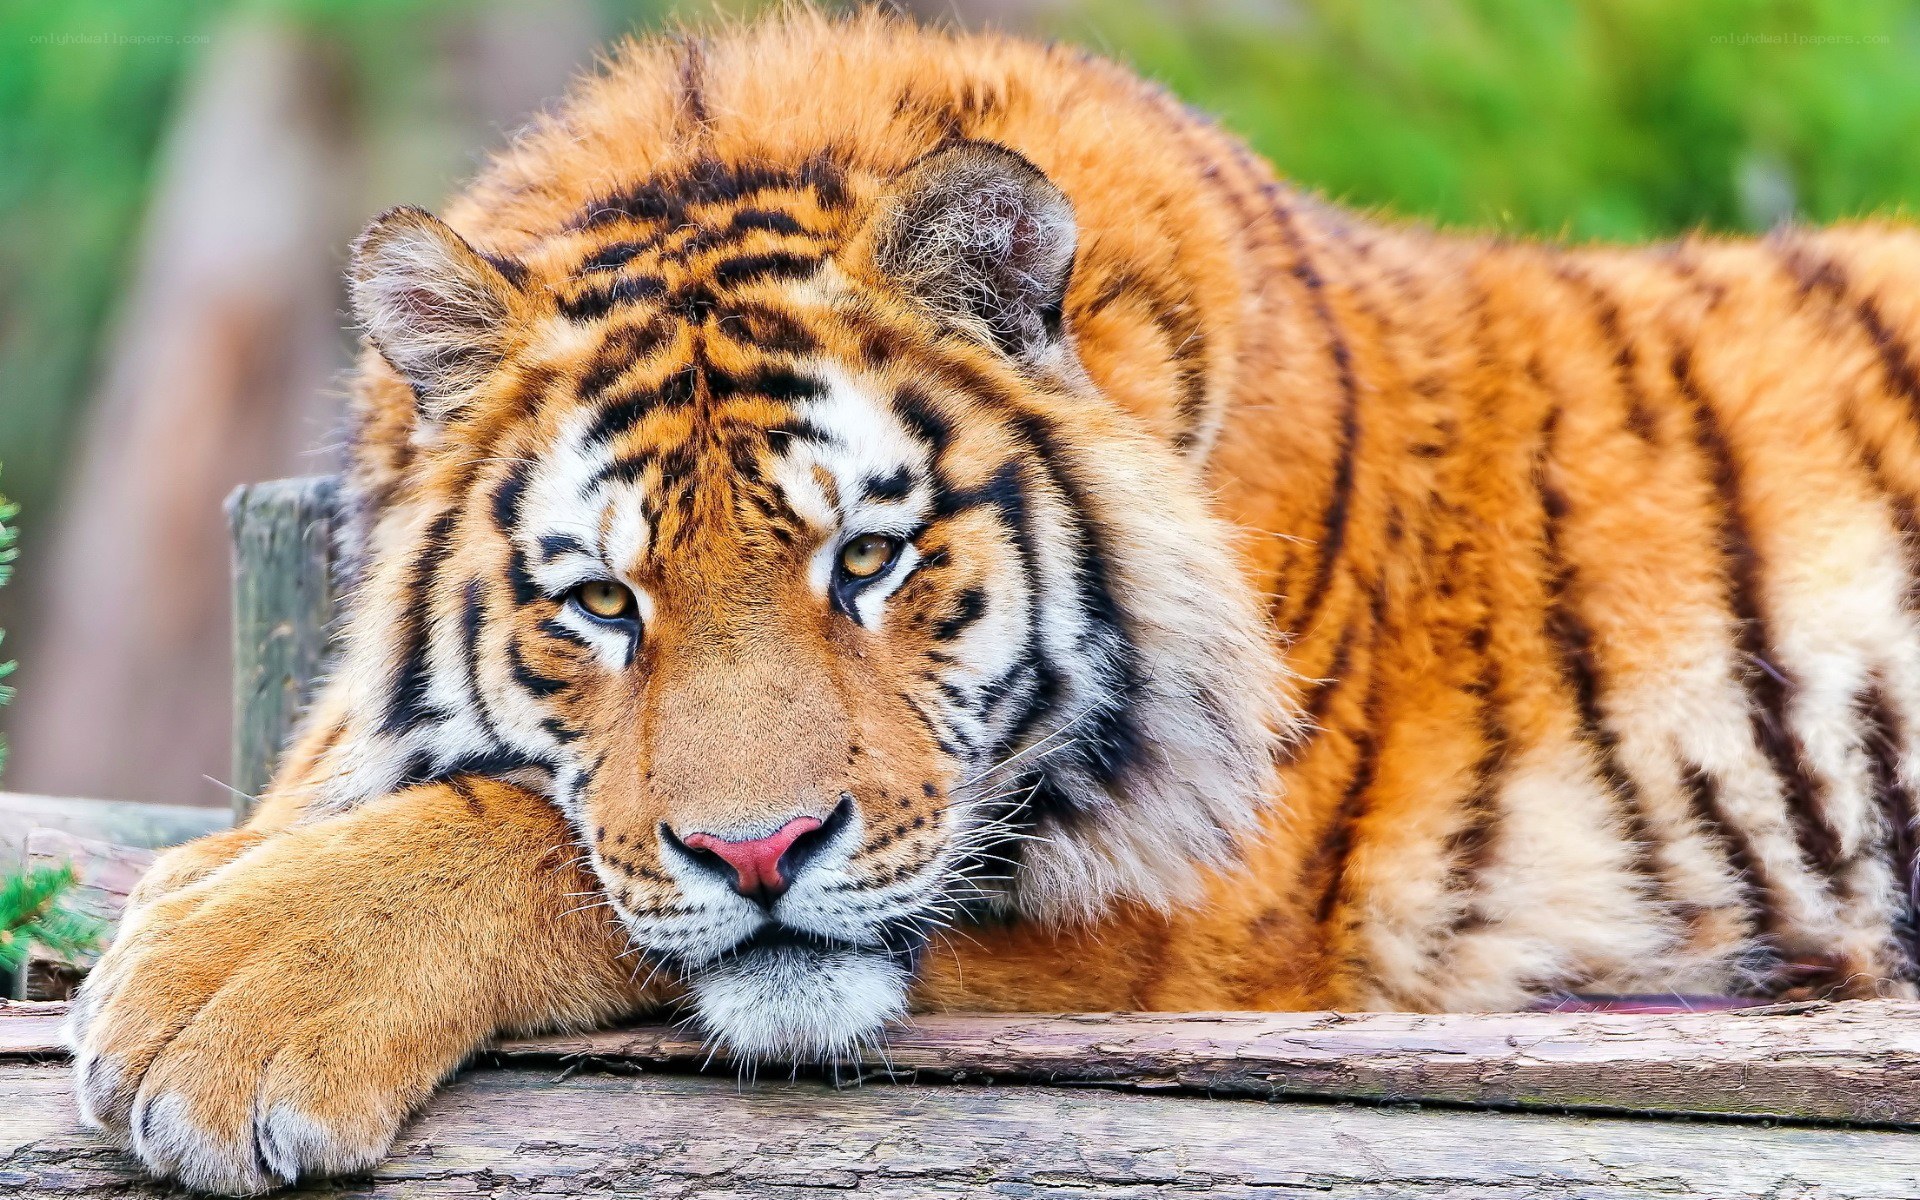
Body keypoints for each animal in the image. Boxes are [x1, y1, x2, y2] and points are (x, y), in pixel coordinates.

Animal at [67, 8, 1920, 1193]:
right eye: (601, 604)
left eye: (867, 562)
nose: (760, 854)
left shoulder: (1189, 902)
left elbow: (541, 841)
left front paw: (214, 993)